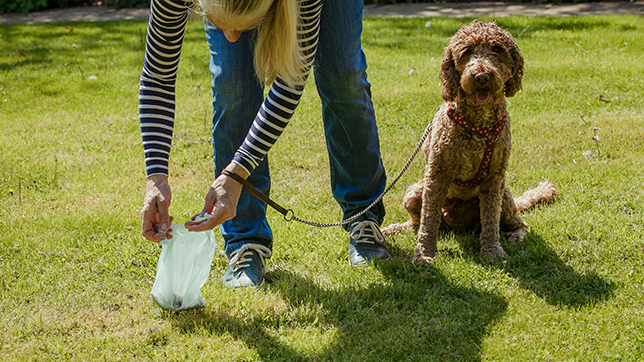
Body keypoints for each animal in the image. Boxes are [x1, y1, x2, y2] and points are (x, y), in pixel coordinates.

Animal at [380, 19, 556, 264]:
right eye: (466, 51)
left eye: (496, 49)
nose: (481, 76)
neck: (478, 126)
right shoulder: (436, 175)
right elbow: (428, 221)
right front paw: (424, 255)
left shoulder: (495, 178)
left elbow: (491, 221)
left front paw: (492, 251)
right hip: (414, 192)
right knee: (417, 223)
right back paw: (392, 229)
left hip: (504, 197)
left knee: (519, 222)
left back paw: (515, 236)